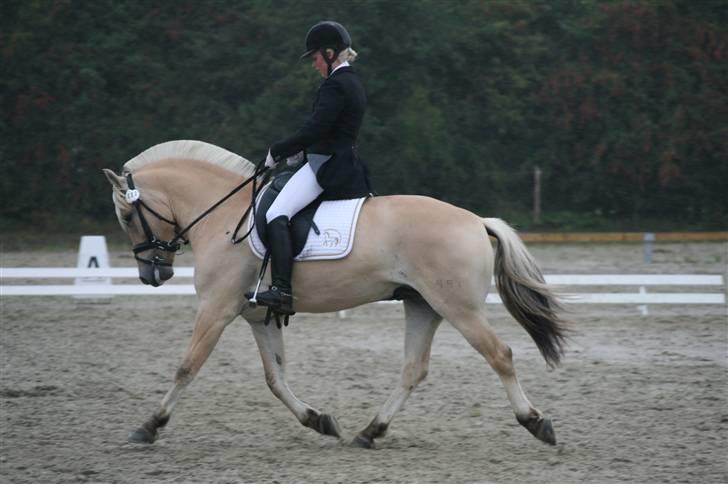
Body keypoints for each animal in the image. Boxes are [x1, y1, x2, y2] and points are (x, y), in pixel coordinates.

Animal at [102, 138, 568, 448]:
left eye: (127, 216)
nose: (153, 273)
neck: (224, 216)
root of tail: (476, 220)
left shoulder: (216, 309)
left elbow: (187, 367)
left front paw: (149, 425)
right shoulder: (255, 315)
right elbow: (275, 377)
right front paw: (319, 420)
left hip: (459, 308)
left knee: (499, 354)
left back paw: (536, 423)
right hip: (424, 305)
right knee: (413, 369)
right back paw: (369, 431)